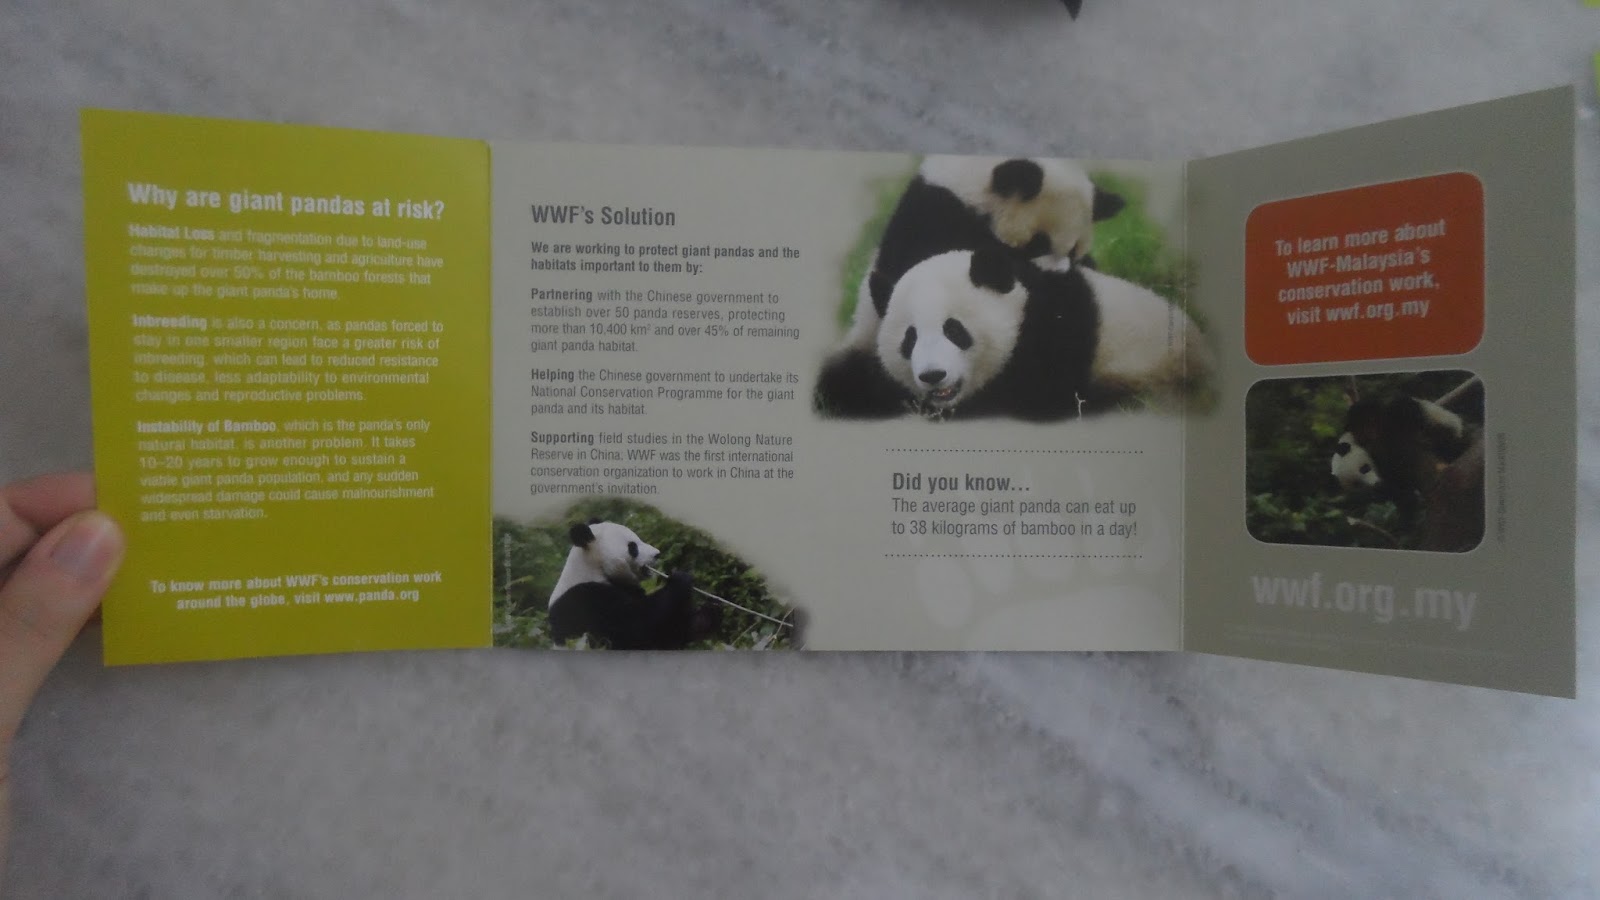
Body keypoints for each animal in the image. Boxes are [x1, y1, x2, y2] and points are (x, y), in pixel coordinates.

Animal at [546, 519, 719, 650]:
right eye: (632, 547)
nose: (657, 554)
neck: (593, 567)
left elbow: (667, 634)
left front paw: (708, 613)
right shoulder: (586, 598)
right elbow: (635, 629)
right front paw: (680, 580)